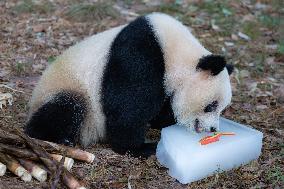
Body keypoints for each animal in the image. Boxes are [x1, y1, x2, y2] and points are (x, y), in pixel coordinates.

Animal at [25, 12, 233, 158]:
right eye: (211, 106)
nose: (213, 129)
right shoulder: (140, 54)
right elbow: (127, 107)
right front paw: (140, 147)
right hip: (67, 88)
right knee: (68, 107)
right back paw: (55, 137)